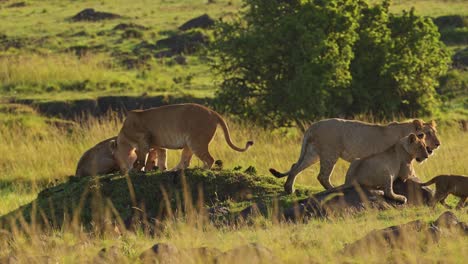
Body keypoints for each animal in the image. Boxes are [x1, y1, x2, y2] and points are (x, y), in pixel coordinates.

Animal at [268, 118, 440, 193]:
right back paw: (333, 189)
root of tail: (312, 126)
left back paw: (288, 188)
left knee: (295, 167)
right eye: (427, 133)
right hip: (330, 153)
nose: (438, 144)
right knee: (322, 176)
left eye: (435, 132)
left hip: (312, 153)